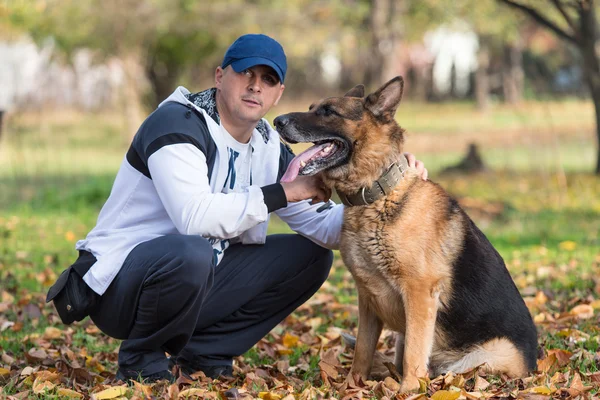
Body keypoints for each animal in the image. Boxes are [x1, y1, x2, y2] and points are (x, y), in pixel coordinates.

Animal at [274, 76, 536, 392]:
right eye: (312, 107)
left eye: (328, 111)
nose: (276, 121)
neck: (376, 197)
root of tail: (533, 364)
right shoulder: (367, 298)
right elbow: (362, 350)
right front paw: (352, 386)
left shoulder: (419, 293)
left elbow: (414, 351)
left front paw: (409, 391)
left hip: (478, 361)